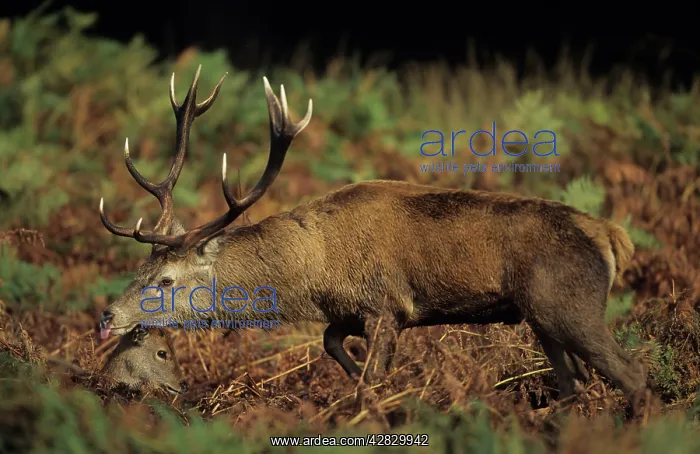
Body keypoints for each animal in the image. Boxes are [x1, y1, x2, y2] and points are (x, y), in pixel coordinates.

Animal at [97, 65, 650, 415]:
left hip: (572, 305)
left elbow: (369, 378)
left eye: (167, 280)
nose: (107, 316)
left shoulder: (386, 305)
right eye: (139, 271)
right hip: (542, 318)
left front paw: (376, 400)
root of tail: (612, 234)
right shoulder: (350, 310)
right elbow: (331, 343)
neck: (314, 270)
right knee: (574, 384)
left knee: (633, 375)